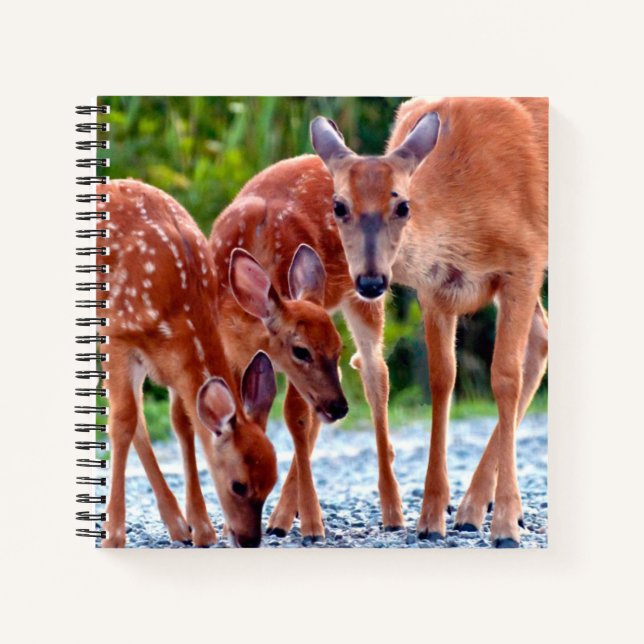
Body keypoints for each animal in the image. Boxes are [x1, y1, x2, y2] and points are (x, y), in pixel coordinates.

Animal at [97, 179, 279, 548]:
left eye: (272, 483)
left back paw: (178, 525)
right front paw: (114, 536)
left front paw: (202, 527)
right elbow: (122, 422)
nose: (249, 540)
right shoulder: (118, 335)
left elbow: (182, 423)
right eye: (239, 485)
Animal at [209, 165, 405, 540]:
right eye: (301, 350)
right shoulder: (231, 350)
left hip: (366, 291)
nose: (340, 408)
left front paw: (313, 524)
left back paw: (392, 512)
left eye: (337, 347)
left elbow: (296, 419)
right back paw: (283, 517)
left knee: (375, 374)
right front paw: (229, 525)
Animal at [310, 97, 548, 547]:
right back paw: (471, 510)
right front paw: (431, 518)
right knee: (543, 339)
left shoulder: (524, 263)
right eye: (338, 205)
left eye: (402, 205)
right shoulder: (434, 288)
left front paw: (506, 526)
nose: (371, 280)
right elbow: (442, 379)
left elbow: (503, 376)